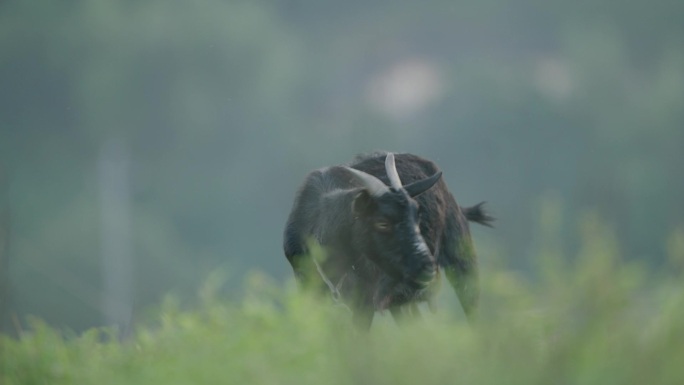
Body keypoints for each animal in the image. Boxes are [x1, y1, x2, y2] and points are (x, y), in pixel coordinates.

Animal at [284, 151, 492, 328]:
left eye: (417, 214)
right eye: (382, 223)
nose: (427, 267)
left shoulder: (364, 303)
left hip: (462, 259)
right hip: (401, 303)